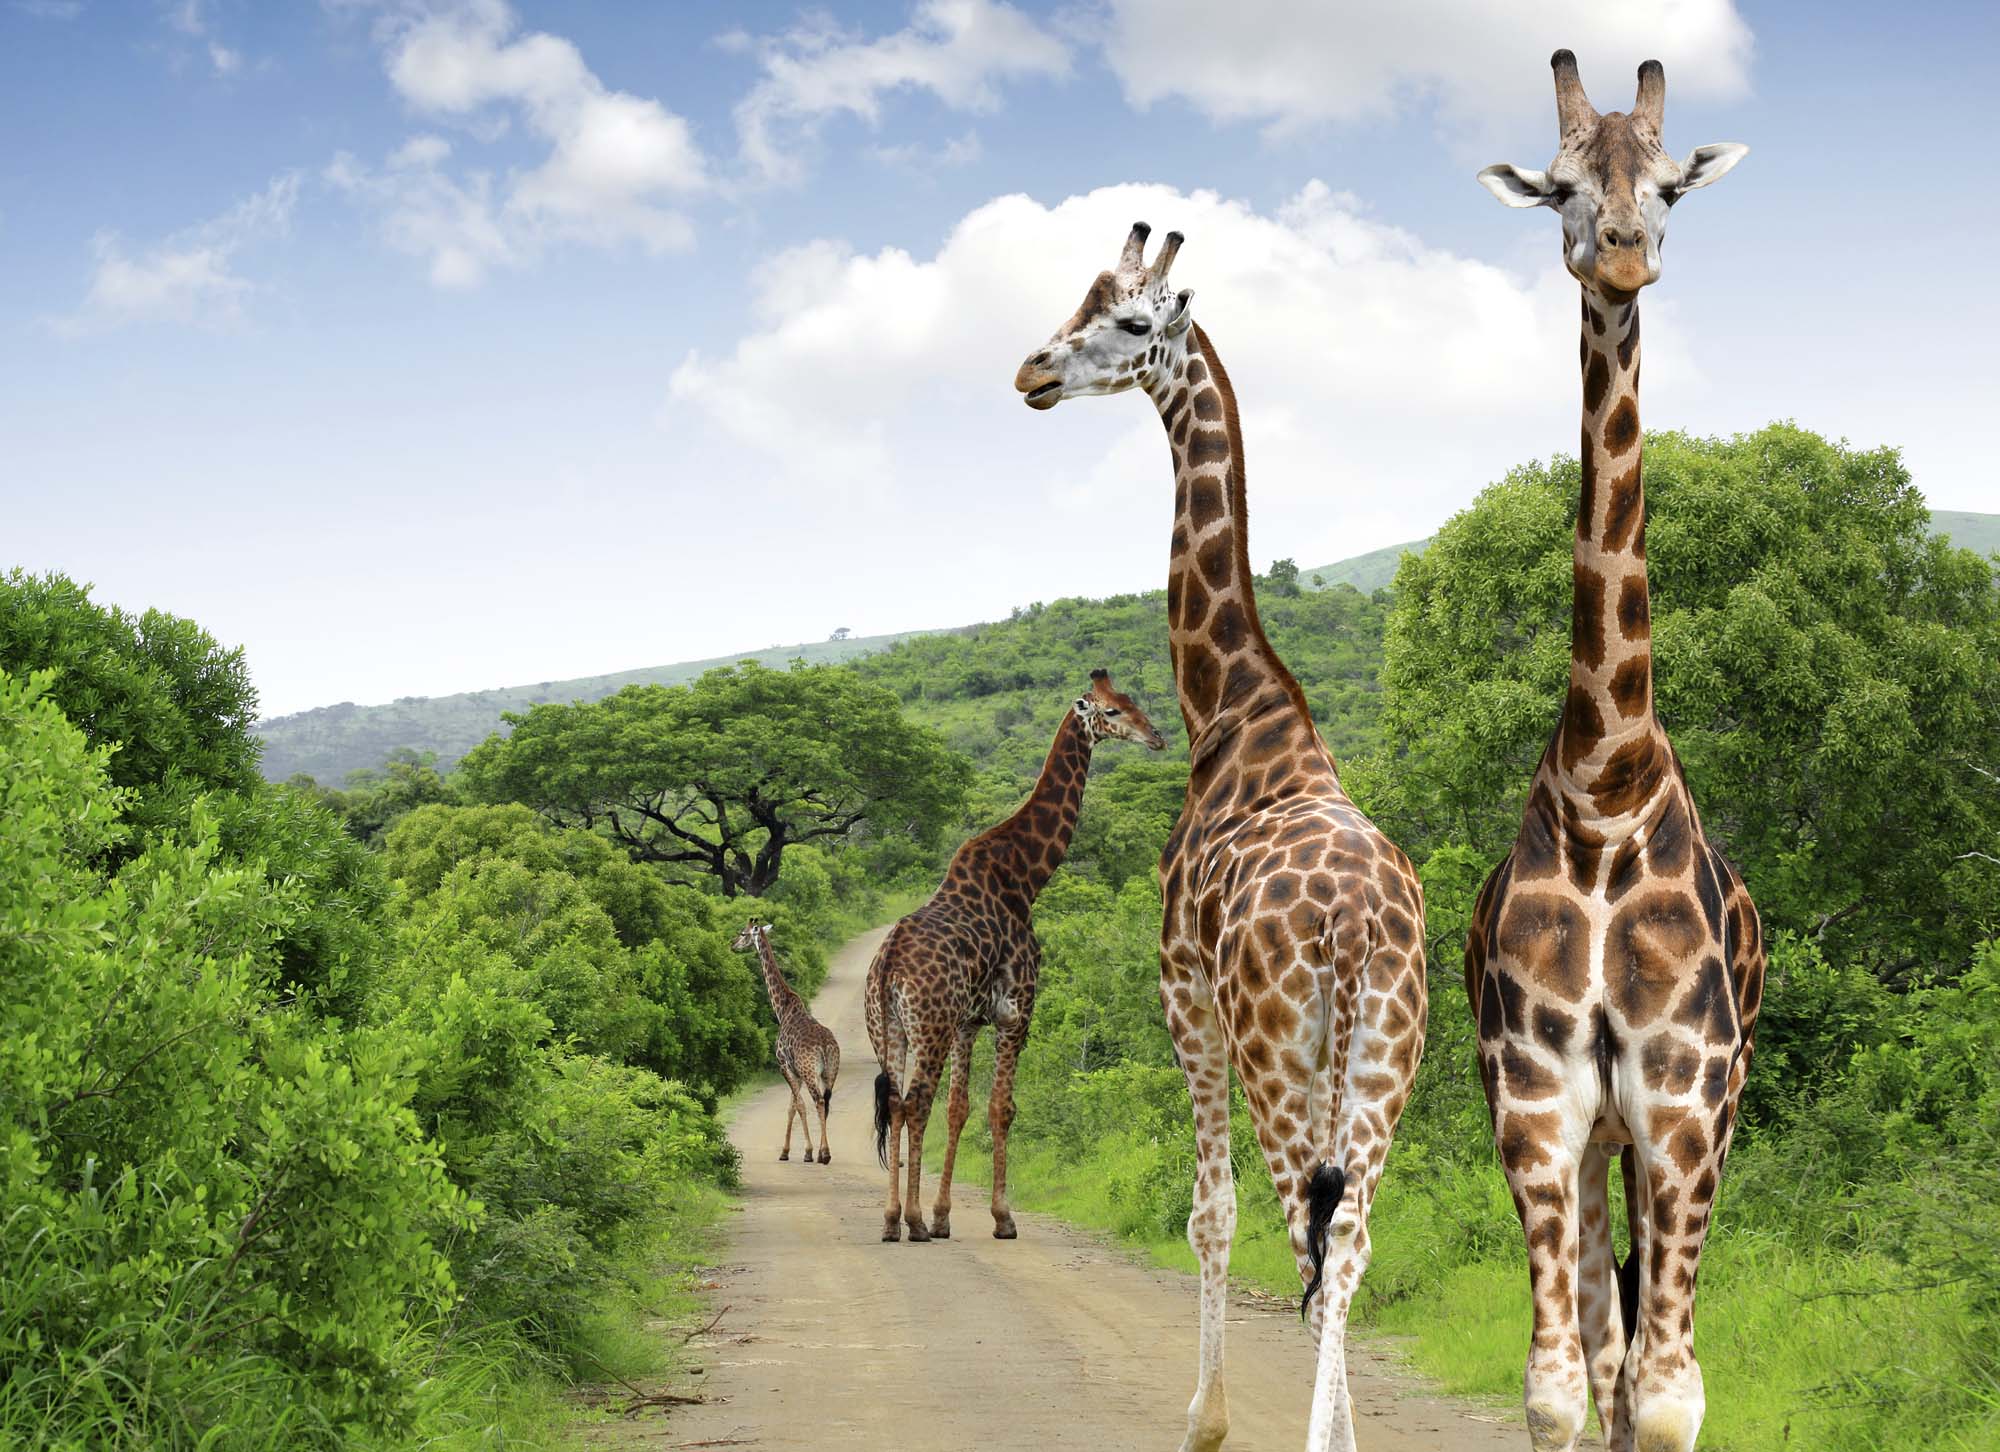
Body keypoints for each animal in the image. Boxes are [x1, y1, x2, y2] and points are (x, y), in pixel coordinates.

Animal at [732, 919, 841, 1165]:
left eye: (743, 933)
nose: (732, 945)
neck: (782, 1009)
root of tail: (825, 1046)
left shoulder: (784, 1065)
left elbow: (798, 1105)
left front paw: (806, 1152)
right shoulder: (796, 1072)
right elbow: (791, 1107)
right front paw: (786, 1151)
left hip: (811, 1072)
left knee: (818, 1102)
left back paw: (825, 1154)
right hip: (830, 1072)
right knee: (827, 1102)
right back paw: (824, 1152)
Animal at [868, 670, 1165, 1243]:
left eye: (1132, 700)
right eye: (1112, 712)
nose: (1157, 737)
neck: (1025, 877)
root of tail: (889, 964)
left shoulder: (970, 1021)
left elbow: (960, 1108)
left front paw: (944, 1215)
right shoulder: (1015, 1011)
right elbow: (1001, 1108)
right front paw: (1001, 1217)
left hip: (889, 1029)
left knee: (895, 1103)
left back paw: (893, 1219)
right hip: (929, 1027)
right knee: (914, 1103)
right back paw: (910, 1221)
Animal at [1014, 223, 1429, 1452]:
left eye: (1126, 322)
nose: (1031, 372)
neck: (1231, 710)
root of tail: (1353, 932)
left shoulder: (1181, 991)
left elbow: (1210, 1212)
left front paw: (1203, 1417)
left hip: (1274, 1044)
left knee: (1308, 1232)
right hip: (1387, 1057)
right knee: (1349, 1240)